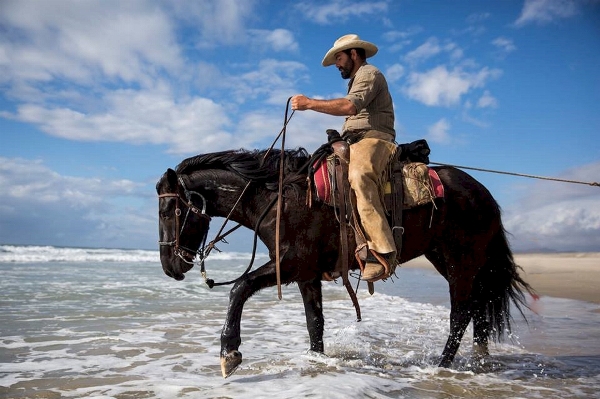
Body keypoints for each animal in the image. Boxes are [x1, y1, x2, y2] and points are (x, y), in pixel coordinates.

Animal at [156, 148, 536, 380]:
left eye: (169, 210)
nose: (170, 267)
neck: (279, 198)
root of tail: (483, 193)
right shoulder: (306, 274)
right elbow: (315, 323)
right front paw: (317, 361)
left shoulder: (289, 264)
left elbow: (239, 288)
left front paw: (229, 352)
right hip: (449, 259)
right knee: (479, 308)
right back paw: (479, 361)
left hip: (461, 261)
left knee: (461, 313)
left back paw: (443, 366)